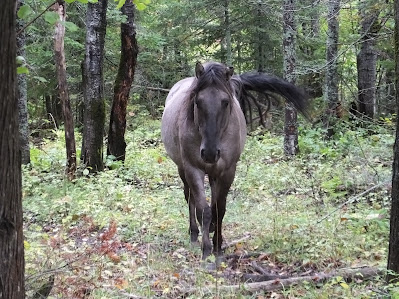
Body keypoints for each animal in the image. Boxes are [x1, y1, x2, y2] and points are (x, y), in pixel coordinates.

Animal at [161, 61, 310, 262]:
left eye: (225, 102)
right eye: (197, 102)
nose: (209, 153)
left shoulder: (228, 171)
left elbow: (220, 209)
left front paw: (218, 247)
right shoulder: (193, 169)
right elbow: (203, 210)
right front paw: (206, 251)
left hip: (214, 173)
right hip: (182, 169)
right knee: (190, 197)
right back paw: (194, 234)